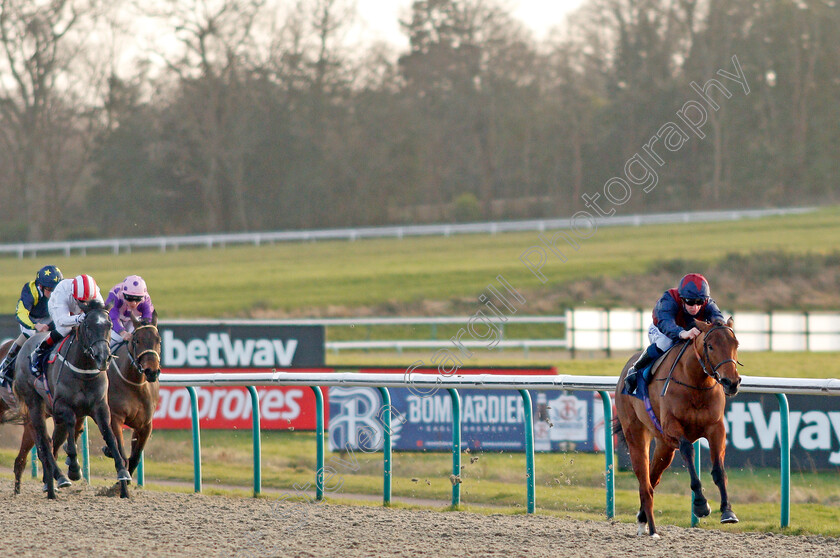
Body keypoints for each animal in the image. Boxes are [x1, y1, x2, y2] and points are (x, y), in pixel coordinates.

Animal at [11, 304, 130, 500]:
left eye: (110, 325)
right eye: (88, 326)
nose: (103, 357)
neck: (84, 371)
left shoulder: (100, 407)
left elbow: (109, 435)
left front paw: (123, 472)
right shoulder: (61, 407)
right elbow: (71, 431)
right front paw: (74, 468)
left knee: (53, 442)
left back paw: (49, 483)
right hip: (35, 405)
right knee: (45, 442)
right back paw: (59, 477)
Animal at [612, 322, 740, 540]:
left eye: (735, 344)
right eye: (711, 346)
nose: (731, 382)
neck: (696, 384)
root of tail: (624, 373)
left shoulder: (716, 429)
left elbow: (719, 469)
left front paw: (727, 511)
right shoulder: (672, 427)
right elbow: (688, 450)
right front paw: (700, 505)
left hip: (664, 446)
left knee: (653, 479)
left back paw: (642, 519)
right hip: (636, 434)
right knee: (645, 483)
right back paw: (652, 530)